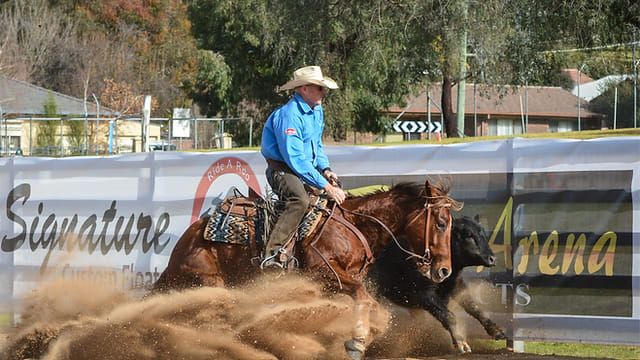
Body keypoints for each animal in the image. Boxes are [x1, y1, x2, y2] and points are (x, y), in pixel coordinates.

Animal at [152, 180, 462, 360]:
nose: (444, 271)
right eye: (441, 223)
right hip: (209, 283)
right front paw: (357, 342)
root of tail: (184, 243)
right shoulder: (326, 276)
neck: (354, 224)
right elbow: (367, 301)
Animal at [368, 215, 508, 352]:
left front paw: (497, 331)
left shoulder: (457, 285)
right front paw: (460, 342)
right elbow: (447, 315)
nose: (492, 259)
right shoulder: (424, 293)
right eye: (469, 235)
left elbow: (475, 308)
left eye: (483, 233)